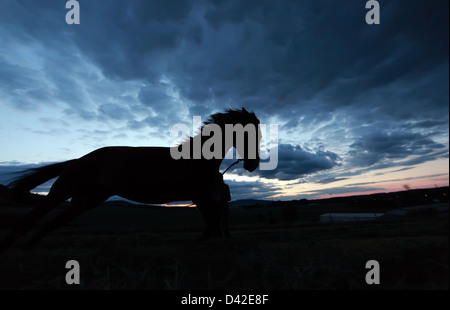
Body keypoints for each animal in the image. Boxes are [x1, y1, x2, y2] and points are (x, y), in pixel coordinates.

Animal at [0, 107, 260, 249]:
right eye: (249, 133)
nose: (253, 165)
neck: (197, 158)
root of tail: (79, 160)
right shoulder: (201, 197)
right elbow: (212, 228)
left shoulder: (202, 199)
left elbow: (212, 228)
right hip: (62, 191)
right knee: (32, 219)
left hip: (85, 200)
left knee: (50, 224)